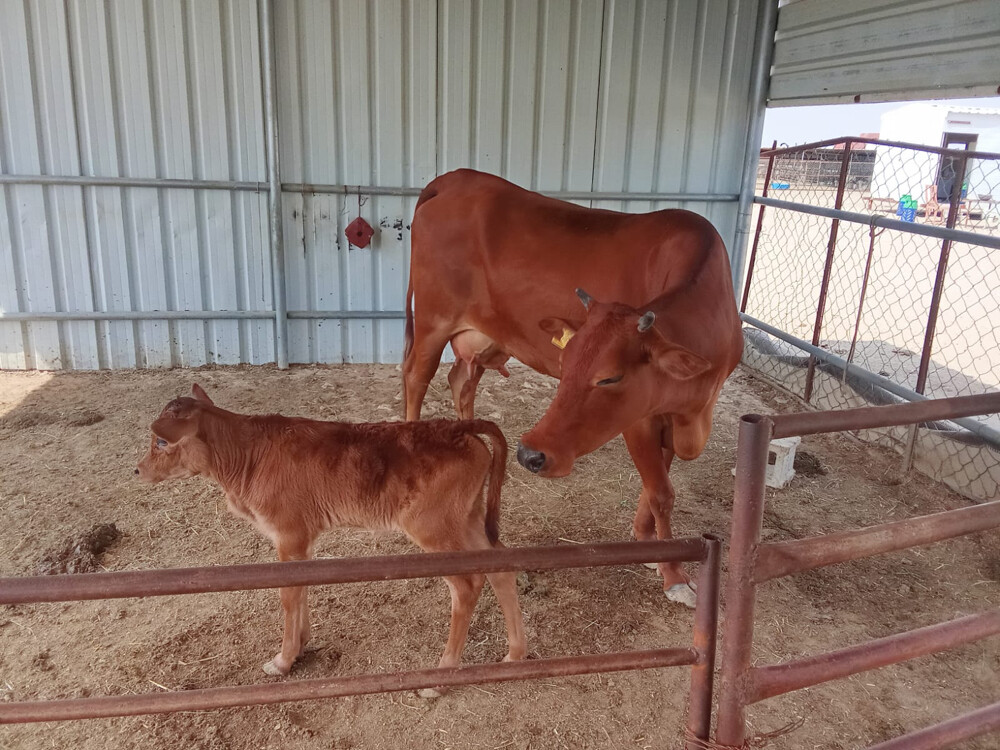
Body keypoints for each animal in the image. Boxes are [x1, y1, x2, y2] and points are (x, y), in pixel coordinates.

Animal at [136, 385, 525, 693]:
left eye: (161, 440)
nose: (138, 469)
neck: (247, 456)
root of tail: (456, 426)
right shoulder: (303, 537)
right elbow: (303, 588)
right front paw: (301, 646)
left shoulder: (289, 531)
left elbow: (288, 595)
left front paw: (283, 660)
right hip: (468, 518)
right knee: (501, 567)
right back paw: (514, 655)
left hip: (434, 527)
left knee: (467, 585)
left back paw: (440, 678)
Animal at [402, 169, 743, 607]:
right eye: (565, 366)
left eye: (610, 377)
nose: (529, 454)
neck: (695, 407)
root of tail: (455, 178)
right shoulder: (638, 419)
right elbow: (661, 492)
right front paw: (674, 575)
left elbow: (656, 482)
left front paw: (646, 540)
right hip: (433, 319)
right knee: (416, 377)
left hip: (482, 334)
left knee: (461, 380)